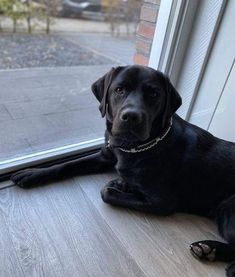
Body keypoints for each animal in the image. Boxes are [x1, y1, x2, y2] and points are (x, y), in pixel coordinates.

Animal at [10, 66, 235, 274]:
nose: (132, 116)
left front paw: (120, 185)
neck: (134, 147)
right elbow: (68, 165)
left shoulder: (163, 202)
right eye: (119, 89)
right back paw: (209, 249)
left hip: (227, 208)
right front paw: (33, 173)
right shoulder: (105, 155)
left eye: (154, 94)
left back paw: (214, 253)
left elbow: (106, 192)